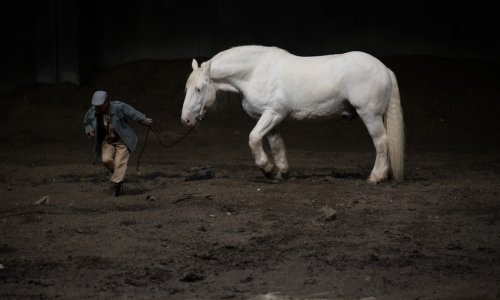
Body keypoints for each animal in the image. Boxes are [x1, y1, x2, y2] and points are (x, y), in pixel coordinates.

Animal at [182, 45, 404, 183]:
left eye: (199, 89)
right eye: (187, 88)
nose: (186, 120)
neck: (255, 72)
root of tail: (384, 68)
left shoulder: (273, 114)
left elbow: (254, 138)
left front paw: (267, 169)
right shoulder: (272, 118)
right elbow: (276, 145)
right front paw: (281, 172)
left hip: (370, 115)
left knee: (381, 142)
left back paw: (376, 176)